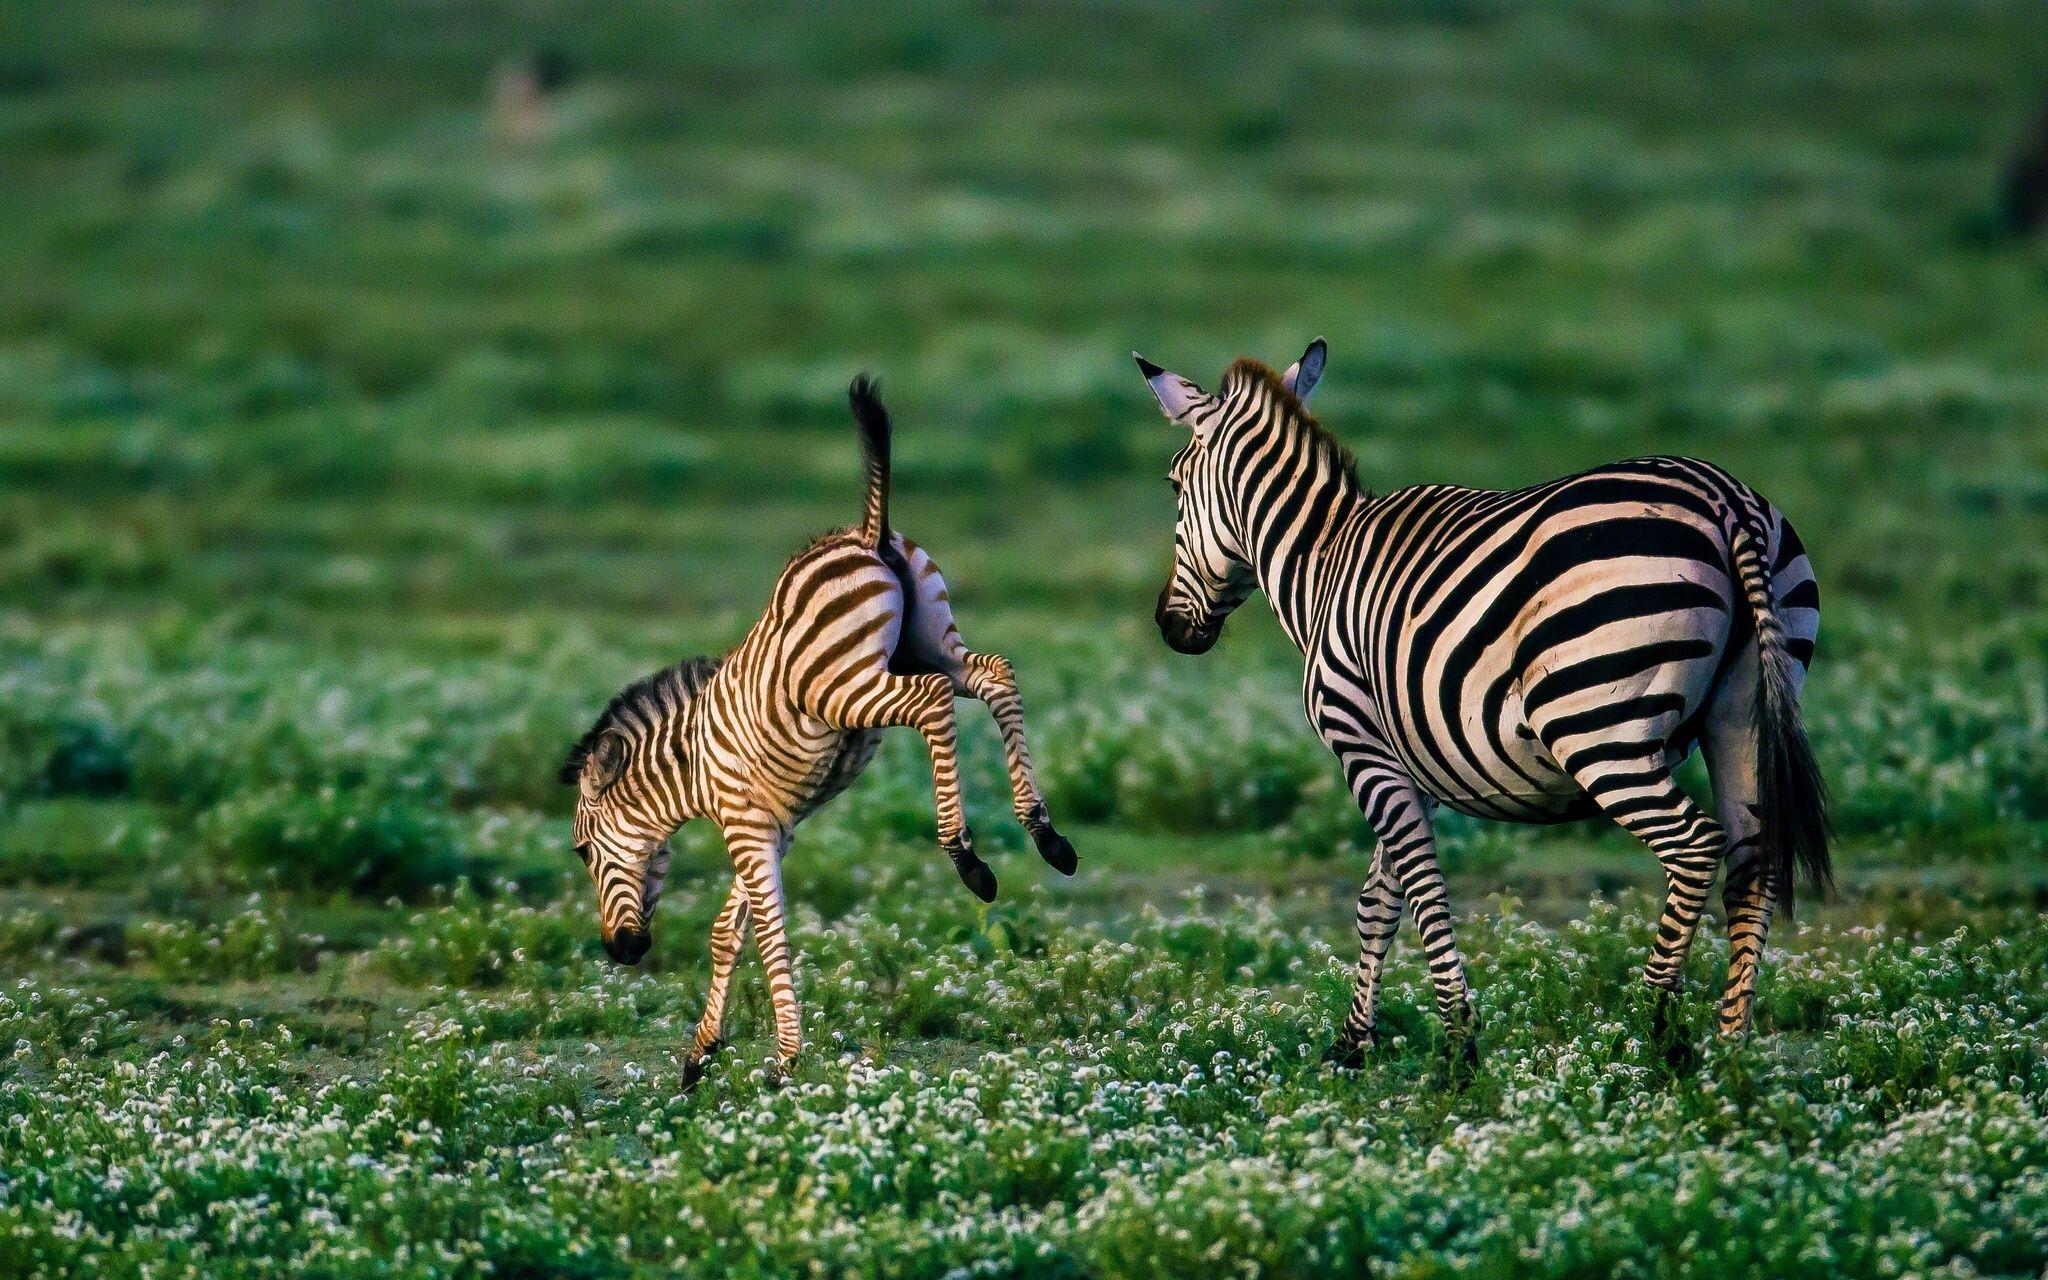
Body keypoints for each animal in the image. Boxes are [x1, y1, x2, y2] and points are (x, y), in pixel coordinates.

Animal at [561, 376, 1078, 1082]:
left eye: (584, 852)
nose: (622, 951)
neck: (692, 770)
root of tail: (867, 532)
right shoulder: (773, 829)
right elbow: (728, 932)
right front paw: (701, 1055)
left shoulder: (747, 829)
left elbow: (769, 935)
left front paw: (783, 1061)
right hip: (931, 642)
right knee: (996, 676)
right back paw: (1046, 835)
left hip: (844, 686)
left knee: (933, 702)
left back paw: (967, 857)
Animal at [1133, 340, 1830, 1068]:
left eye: (1174, 487)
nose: (1168, 627)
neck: (1321, 563)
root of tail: (1727, 501)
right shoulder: (1415, 757)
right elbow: (1379, 899)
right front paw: (1354, 1045)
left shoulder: (1362, 743)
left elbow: (1419, 885)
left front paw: (1456, 1047)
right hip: (1745, 712)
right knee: (1752, 864)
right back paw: (1730, 1052)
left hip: (1595, 723)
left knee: (1694, 845)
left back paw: (1651, 1032)